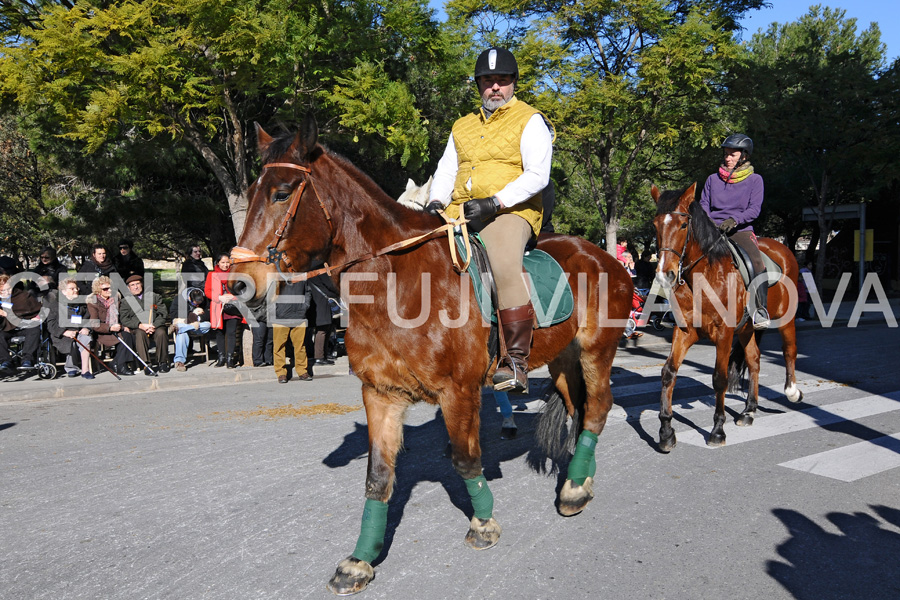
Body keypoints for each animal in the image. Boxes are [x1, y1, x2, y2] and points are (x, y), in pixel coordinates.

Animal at [229, 117, 628, 596]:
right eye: (252, 192)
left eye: (283, 193)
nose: (237, 283)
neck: (398, 283)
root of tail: (602, 255)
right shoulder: (380, 394)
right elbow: (378, 476)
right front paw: (360, 560)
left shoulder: (459, 391)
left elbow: (465, 458)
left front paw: (483, 523)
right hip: (564, 361)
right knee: (579, 409)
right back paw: (579, 480)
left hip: (596, 352)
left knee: (598, 409)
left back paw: (573, 491)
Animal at [652, 183, 804, 450]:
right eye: (655, 225)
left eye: (683, 225)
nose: (664, 274)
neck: (704, 275)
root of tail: (782, 248)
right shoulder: (685, 330)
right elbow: (669, 372)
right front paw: (666, 431)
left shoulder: (723, 333)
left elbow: (719, 378)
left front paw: (717, 430)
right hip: (747, 329)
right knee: (754, 359)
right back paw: (749, 410)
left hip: (786, 318)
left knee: (789, 350)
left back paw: (792, 391)